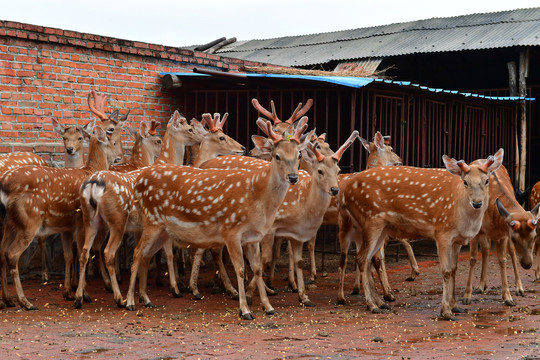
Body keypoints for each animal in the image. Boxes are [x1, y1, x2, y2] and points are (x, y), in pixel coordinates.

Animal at [0, 124, 121, 310]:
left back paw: (8, 300)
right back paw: (25, 302)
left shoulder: (67, 227)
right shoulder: (81, 222)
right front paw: (83, 295)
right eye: (113, 142)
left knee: (1, 252)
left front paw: (68, 293)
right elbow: (82, 254)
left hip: (10, 223)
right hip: (29, 220)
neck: (90, 169)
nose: (119, 157)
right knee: (12, 254)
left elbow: (68, 256)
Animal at [127, 117, 310, 318]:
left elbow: (257, 268)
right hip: (151, 221)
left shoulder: (253, 237)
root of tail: (137, 183)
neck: (258, 199)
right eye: (276, 156)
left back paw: (146, 299)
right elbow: (240, 268)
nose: (293, 177)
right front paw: (245, 309)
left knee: (146, 254)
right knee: (137, 252)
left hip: (163, 230)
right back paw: (129, 302)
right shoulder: (231, 230)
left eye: (299, 155)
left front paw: (268, 307)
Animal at [340, 149, 504, 320]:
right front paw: (446, 311)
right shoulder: (442, 232)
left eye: (486, 180)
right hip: (370, 219)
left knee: (370, 259)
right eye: (465, 182)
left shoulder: (457, 240)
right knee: (361, 258)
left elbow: (454, 269)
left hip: (381, 227)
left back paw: (381, 303)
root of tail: (345, 190)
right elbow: (445, 271)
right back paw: (371, 305)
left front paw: (455, 306)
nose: (477, 203)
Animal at [460, 163, 540, 306]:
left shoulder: (503, 235)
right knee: (485, 250)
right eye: (514, 238)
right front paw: (466, 296)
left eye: (534, 236)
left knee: (509, 253)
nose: (527, 264)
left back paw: (519, 288)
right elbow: (473, 258)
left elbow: (503, 260)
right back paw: (481, 285)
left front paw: (508, 297)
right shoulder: (477, 231)